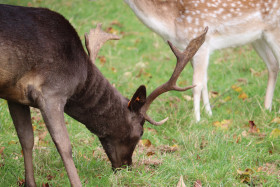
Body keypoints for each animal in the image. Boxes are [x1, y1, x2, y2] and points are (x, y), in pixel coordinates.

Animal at [0, 4, 208, 187]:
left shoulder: (15, 96)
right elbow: (64, 145)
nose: (127, 167)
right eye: (141, 132)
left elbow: (26, 139)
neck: (80, 78)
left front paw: (30, 183)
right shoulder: (52, 92)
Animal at [126, 0, 280, 121]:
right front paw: (209, 114)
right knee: (273, 64)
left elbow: (197, 84)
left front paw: (197, 120)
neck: (171, 22)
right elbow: (204, 82)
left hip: (274, 31)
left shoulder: (201, 45)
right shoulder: (190, 51)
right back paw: (266, 109)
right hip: (258, 38)